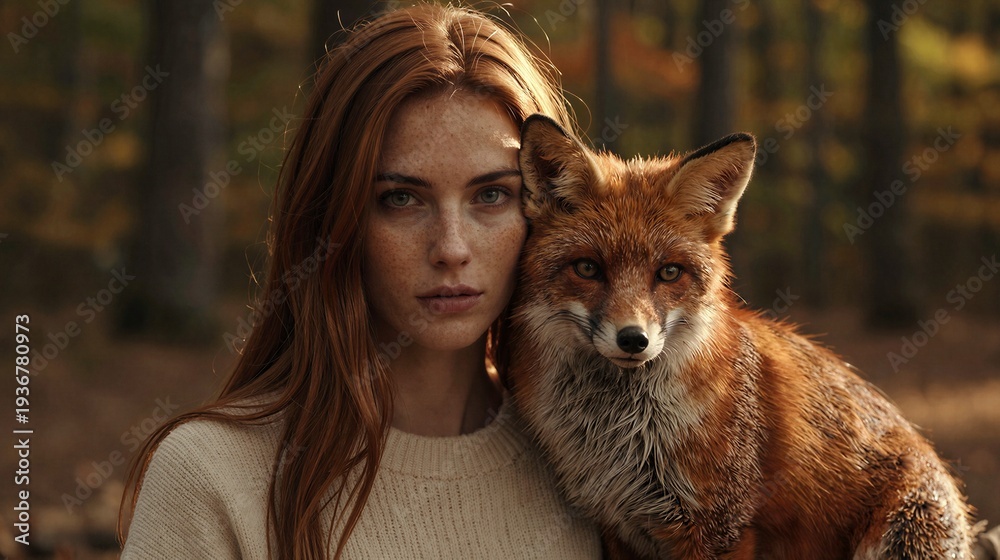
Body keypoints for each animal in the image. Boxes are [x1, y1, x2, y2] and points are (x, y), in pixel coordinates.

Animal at [504, 114, 977, 559]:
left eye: (669, 273)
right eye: (587, 268)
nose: (633, 339)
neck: (619, 430)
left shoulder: (721, 525)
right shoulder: (619, 527)